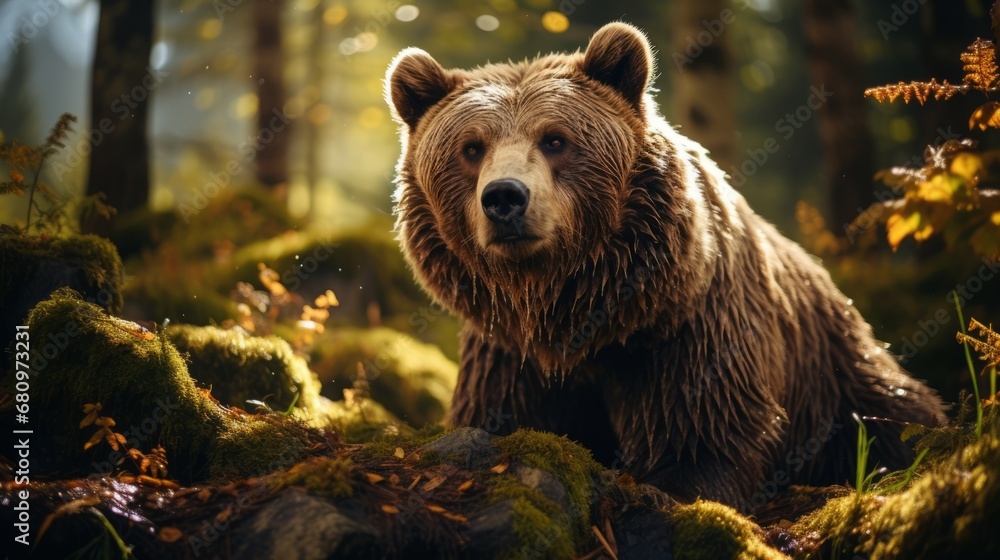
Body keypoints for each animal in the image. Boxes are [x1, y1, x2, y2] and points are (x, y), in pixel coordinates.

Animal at [385, 22, 947, 509]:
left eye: (555, 138)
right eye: (471, 147)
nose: (504, 197)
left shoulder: (688, 328)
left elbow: (704, 433)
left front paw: (670, 484)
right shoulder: (506, 354)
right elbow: (499, 416)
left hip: (838, 375)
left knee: (891, 416)